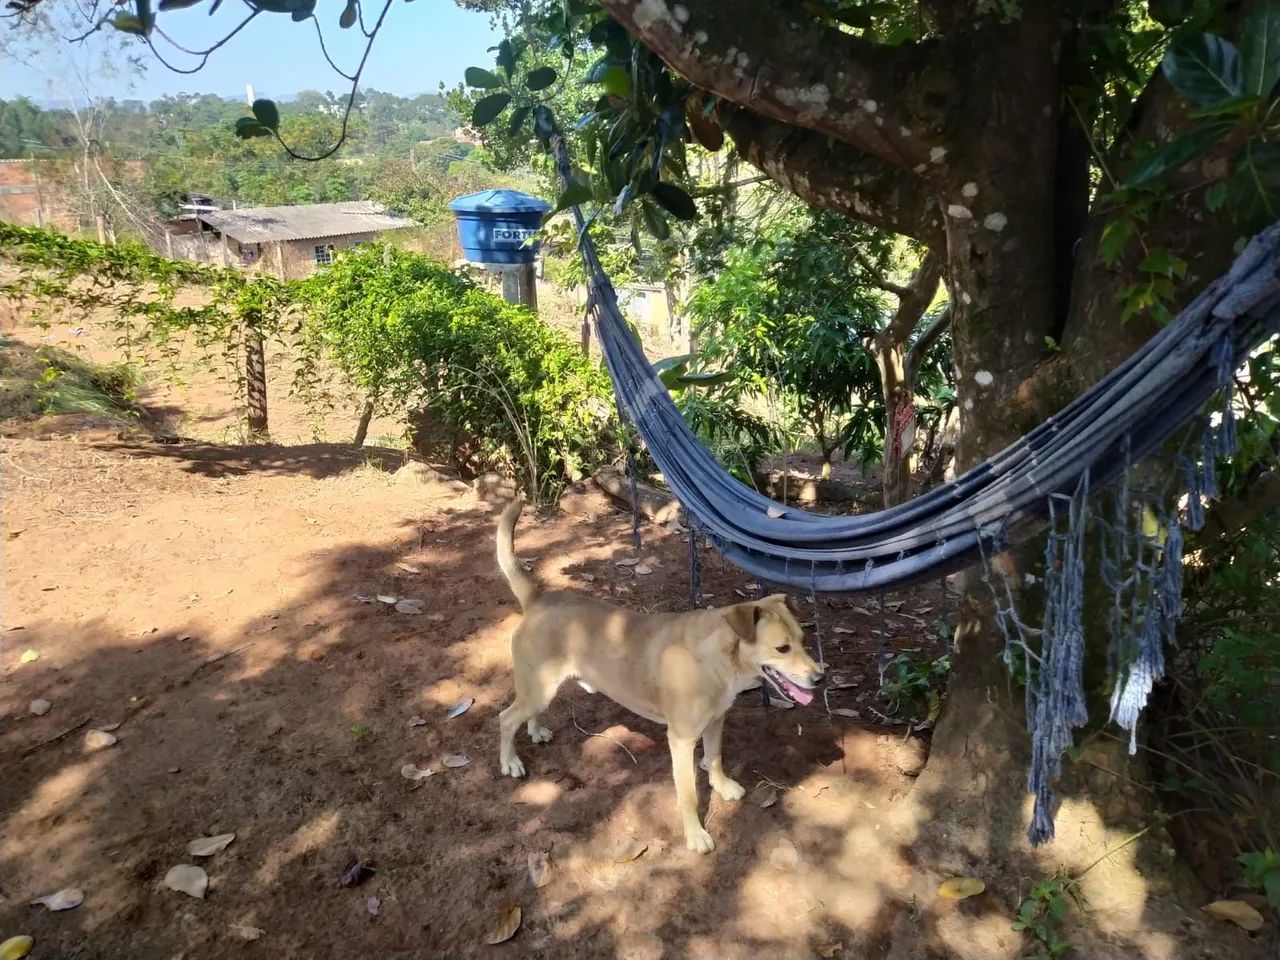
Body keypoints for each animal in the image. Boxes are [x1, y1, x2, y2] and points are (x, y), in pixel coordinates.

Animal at [494, 499, 824, 855]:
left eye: (803, 641)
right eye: (782, 648)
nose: (820, 679)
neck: (716, 659)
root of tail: (538, 599)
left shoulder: (715, 721)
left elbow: (716, 759)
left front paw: (722, 786)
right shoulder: (680, 739)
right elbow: (689, 795)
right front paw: (695, 835)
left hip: (540, 688)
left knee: (526, 713)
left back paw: (536, 730)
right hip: (538, 689)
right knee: (506, 718)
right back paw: (509, 762)